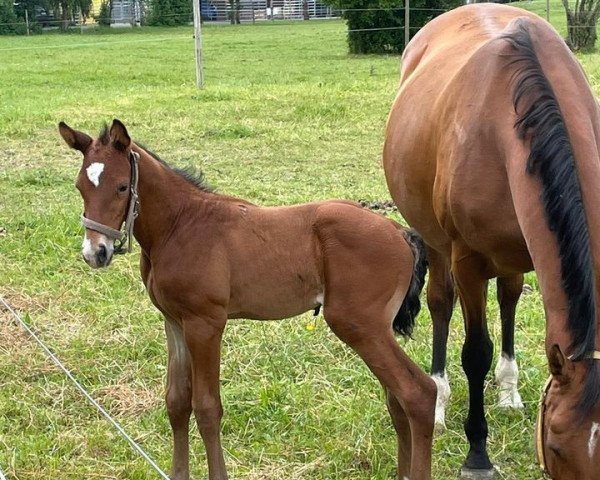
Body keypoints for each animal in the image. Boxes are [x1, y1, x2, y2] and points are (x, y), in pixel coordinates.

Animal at [59, 119, 436, 480]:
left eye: (123, 187)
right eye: (79, 187)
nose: (96, 253)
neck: (181, 225)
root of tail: (399, 231)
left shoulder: (205, 324)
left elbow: (207, 407)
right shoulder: (174, 321)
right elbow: (177, 401)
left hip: (359, 325)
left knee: (418, 393)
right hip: (373, 330)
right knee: (396, 399)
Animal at [382, 4, 600, 480]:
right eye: (556, 449)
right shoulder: (467, 260)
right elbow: (475, 353)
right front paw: (477, 455)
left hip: (513, 254)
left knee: (509, 299)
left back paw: (508, 391)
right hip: (439, 243)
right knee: (442, 304)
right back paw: (439, 399)